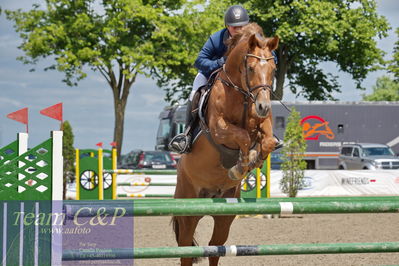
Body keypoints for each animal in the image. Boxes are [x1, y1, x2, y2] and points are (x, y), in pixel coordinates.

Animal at [173, 23, 280, 266]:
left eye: (273, 69)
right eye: (250, 68)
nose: (263, 106)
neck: (241, 92)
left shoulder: (263, 122)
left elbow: (267, 141)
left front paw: (254, 160)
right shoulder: (218, 128)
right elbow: (243, 136)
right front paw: (241, 166)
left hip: (225, 215)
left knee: (215, 247)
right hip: (188, 210)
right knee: (186, 249)